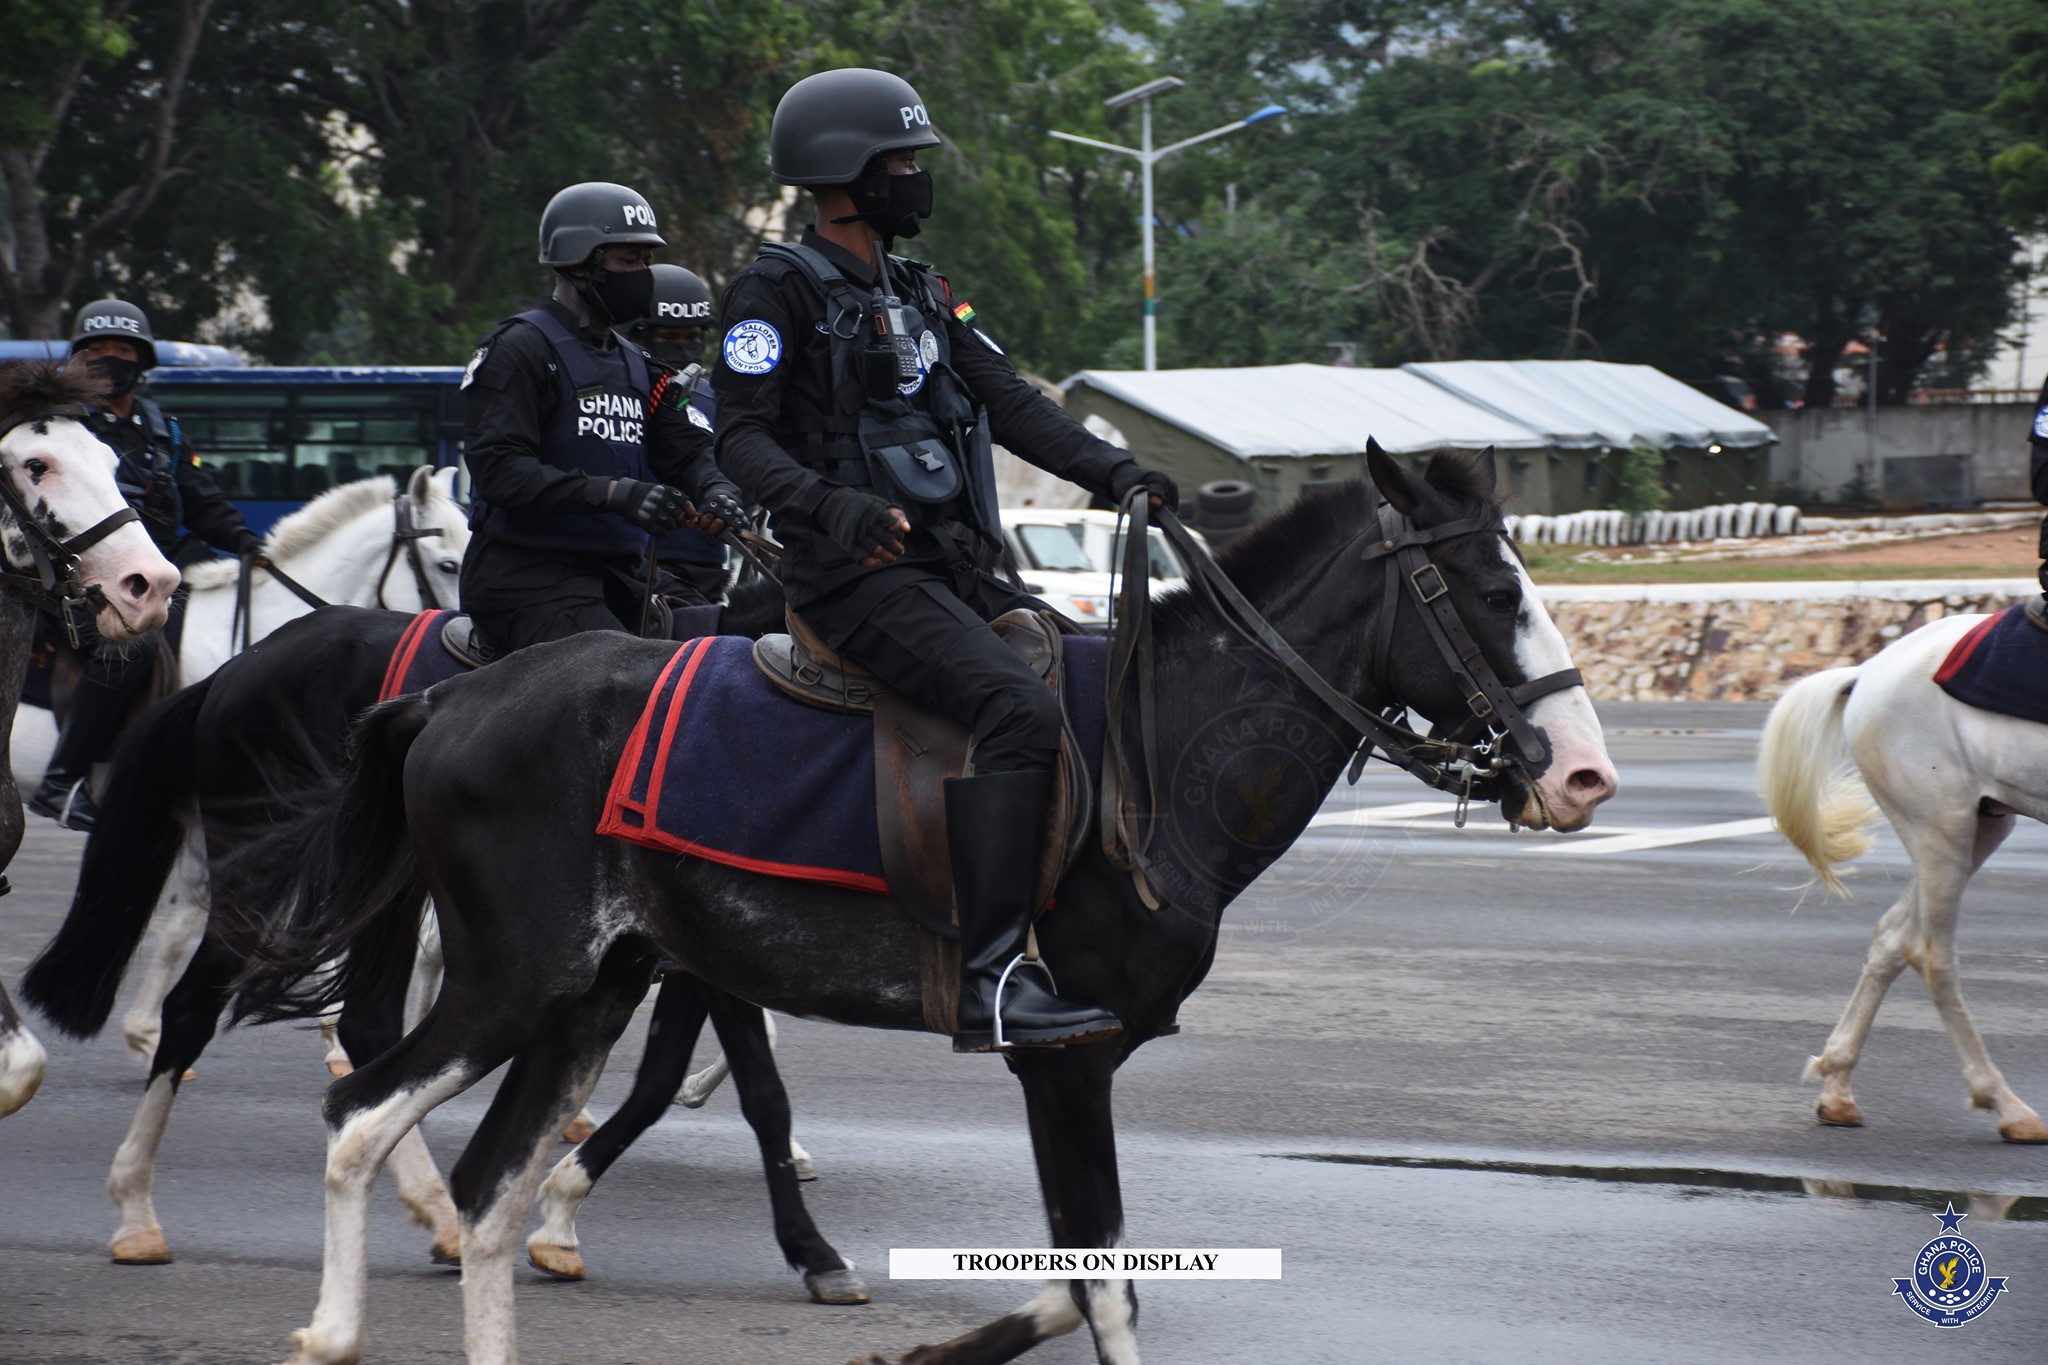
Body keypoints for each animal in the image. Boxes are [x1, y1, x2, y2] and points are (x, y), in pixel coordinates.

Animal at [24, 581, 868, 1301]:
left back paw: (425, 1201)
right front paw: (809, 1246)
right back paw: (140, 1207)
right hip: (272, 875)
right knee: (200, 1006)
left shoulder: (690, 950)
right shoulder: (700, 944)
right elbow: (751, 1086)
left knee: (364, 1021)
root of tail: (237, 670)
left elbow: (677, 1073)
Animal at [239, 454, 1613, 1365]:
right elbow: (1104, 1285)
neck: (1153, 748)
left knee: (487, 1194)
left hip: (589, 990)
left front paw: (932, 1346)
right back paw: (330, 1326)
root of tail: (449, 697)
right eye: (1491, 593)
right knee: (362, 1117)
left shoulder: (1065, 1066)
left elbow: (1074, 1274)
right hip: (511, 979)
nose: (1582, 772)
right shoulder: (1066, 1058)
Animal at [1753, 613, 2048, 1146]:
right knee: (1932, 956)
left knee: (1892, 937)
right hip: (1942, 827)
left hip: (1982, 824)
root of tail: (1869, 670)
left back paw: (1837, 1087)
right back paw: (2005, 1104)